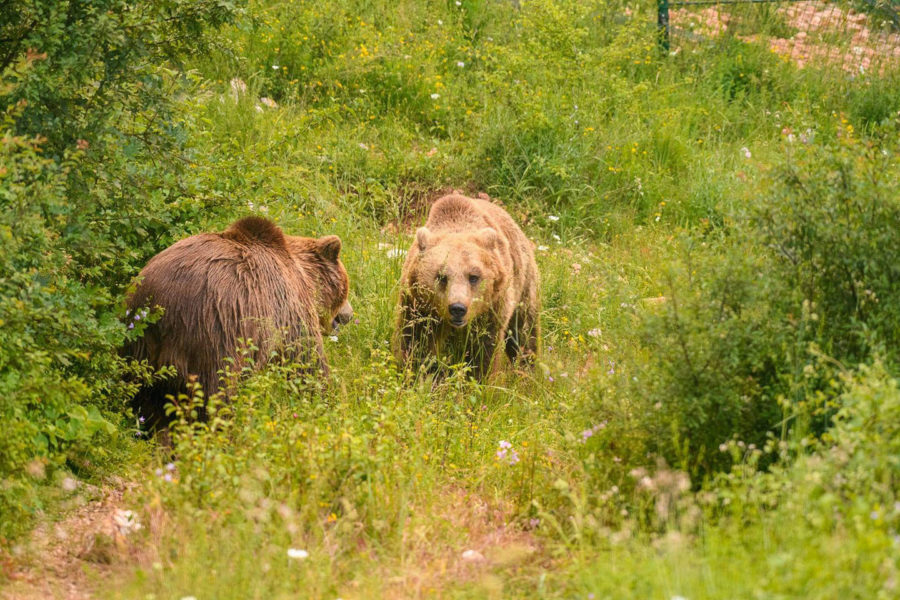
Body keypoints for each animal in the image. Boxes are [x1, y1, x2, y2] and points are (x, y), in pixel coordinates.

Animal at [126, 218, 352, 428]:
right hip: (212, 334)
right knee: (215, 391)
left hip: (138, 345)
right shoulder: (289, 310)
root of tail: (158, 305)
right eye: (346, 288)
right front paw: (325, 400)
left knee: (143, 399)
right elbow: (307, 361)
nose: (349, 314)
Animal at [396, 193, 536, 380]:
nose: (457, 308)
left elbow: (483, 351)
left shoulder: (491, 309)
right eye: (441, 277)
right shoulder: (417, 305)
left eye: (474, 277)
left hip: (523, 281)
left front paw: (478, 378)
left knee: (524, 330)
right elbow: (417, 343)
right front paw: (417, 373)